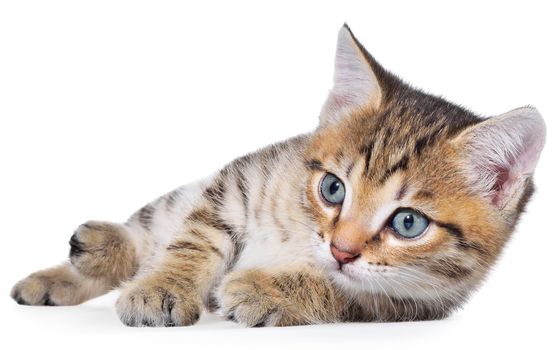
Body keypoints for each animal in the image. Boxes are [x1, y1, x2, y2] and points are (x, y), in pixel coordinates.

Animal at [10, 23, 548, 326]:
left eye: (408, 223)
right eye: (332, 188)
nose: (341, 249)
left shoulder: (413, 303)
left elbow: (342, 291)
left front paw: (262, 289)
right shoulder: (237, 183)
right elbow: (195, 238)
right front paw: (164, 288)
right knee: (149, 234)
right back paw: (93, 253)